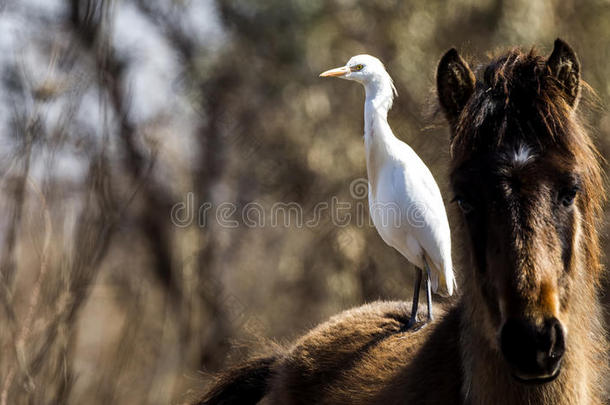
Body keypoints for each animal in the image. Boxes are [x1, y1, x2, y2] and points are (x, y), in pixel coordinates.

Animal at [197, 38, 604, 404]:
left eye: (357, 66)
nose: (334, 72)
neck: (385, 160)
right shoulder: (405, 246)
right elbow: (415, 273)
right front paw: (411, 320)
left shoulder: (421, 242)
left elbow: (421, 271)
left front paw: (422, 320)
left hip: (440, 259)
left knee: (433, 274)